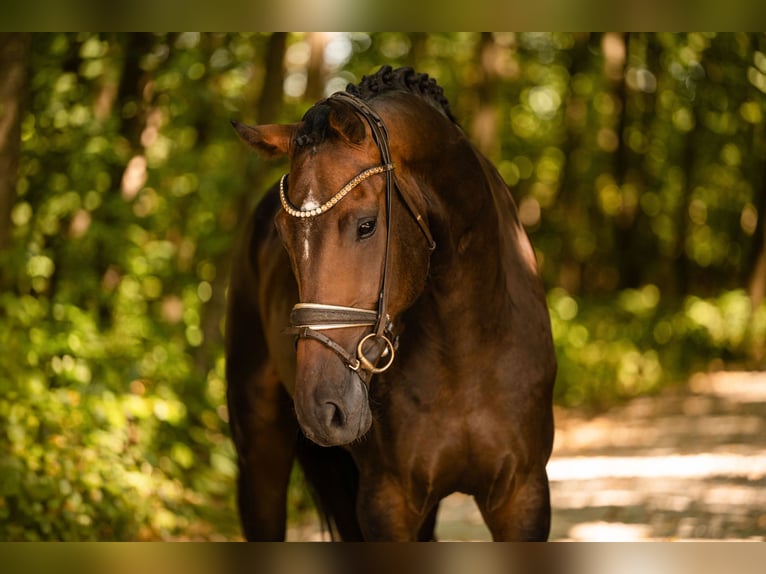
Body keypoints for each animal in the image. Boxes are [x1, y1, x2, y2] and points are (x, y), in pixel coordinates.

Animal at [226, 66, 556, 541]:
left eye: (366, 225)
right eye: (284, 237)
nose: (321, 409)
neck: (469, 347)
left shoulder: (523, 497)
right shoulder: (387, 503)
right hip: (259, 455)